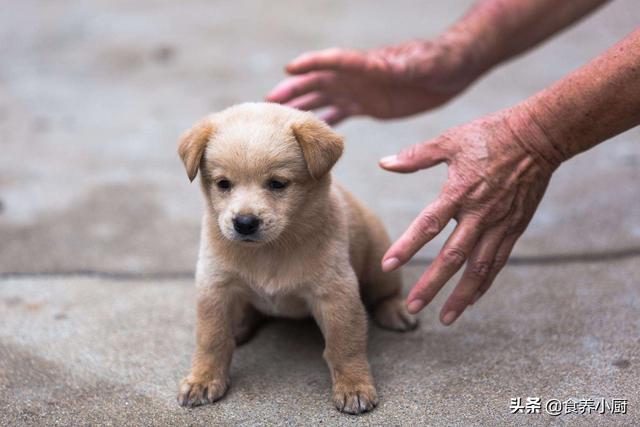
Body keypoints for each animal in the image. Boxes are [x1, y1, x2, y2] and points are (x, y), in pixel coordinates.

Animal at [175, 103, 418, 414]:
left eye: (277, 184)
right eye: (223, 184)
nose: (244, 223)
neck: (269, 250)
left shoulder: (336, 293)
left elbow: (345, 345)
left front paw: (354, 386)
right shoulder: (215, 287)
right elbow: (211, 339)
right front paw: (203, 379)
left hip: (379, 262)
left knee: (385, 293)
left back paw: (395, 310)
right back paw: (239, 326)